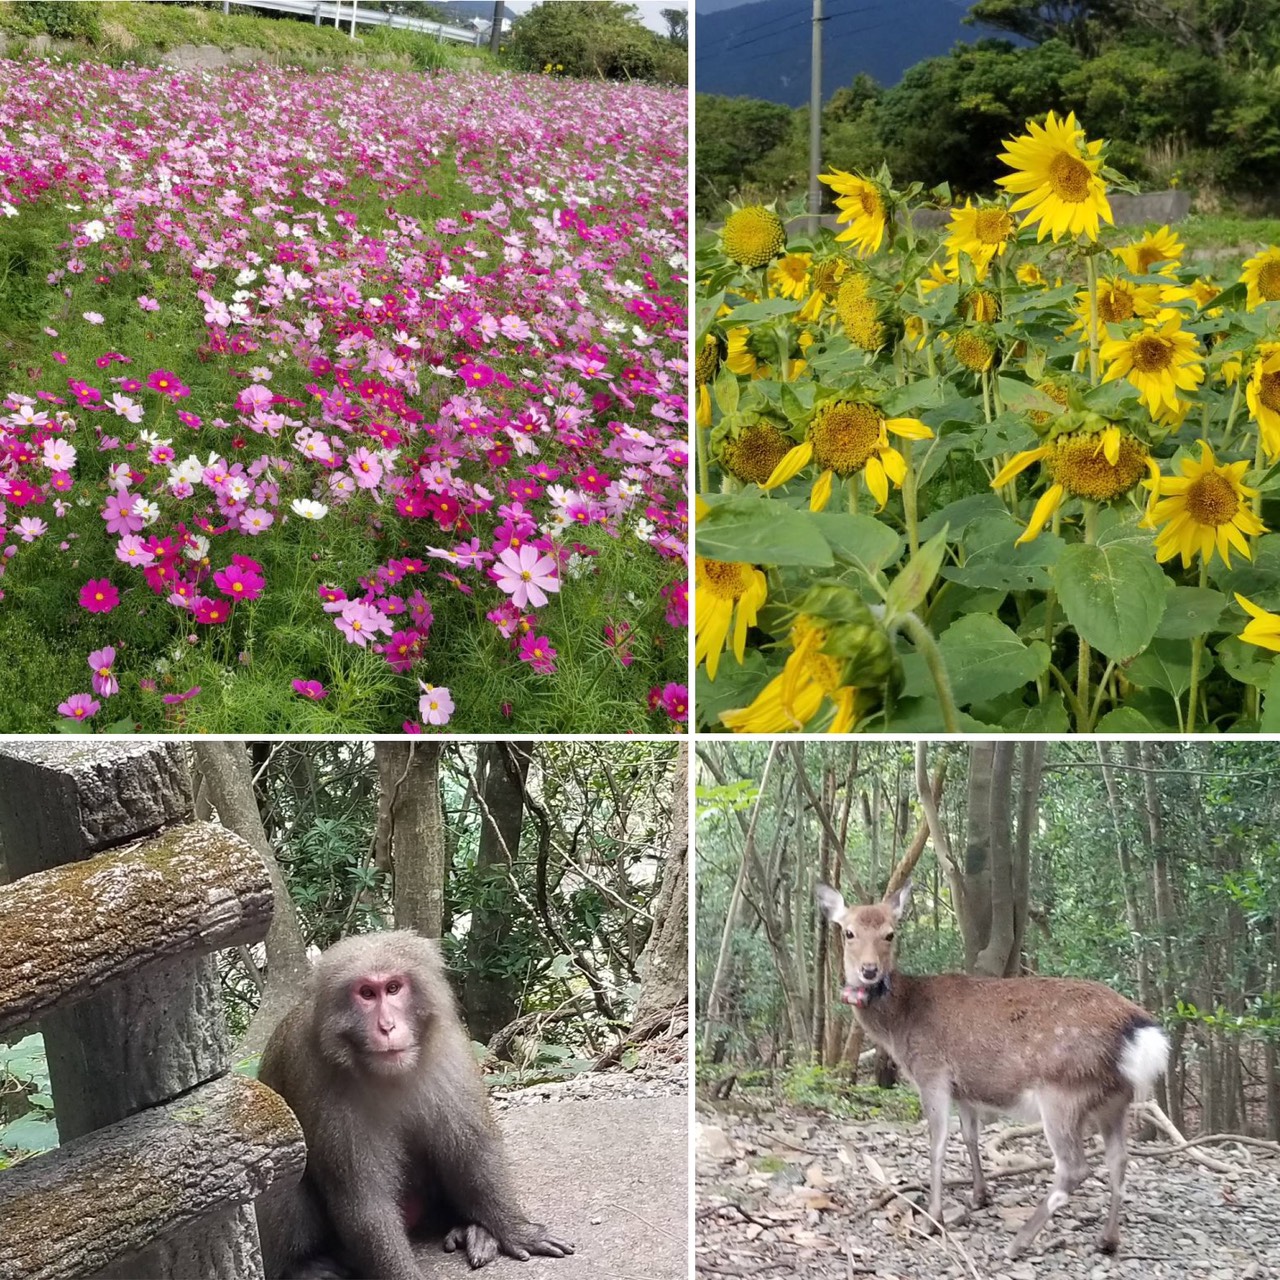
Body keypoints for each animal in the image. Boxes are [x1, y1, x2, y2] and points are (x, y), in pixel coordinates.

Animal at [819, 880, 1172, 1259]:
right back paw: (1107, 1240)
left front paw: (933, 1219)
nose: (869, 971)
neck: (900, 1025)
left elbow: (938, 1145)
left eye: (890, 933)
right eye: (848, 932)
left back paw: (1020, 1241)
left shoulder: (932, 1073)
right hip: (1115, 1099)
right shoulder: (964, 1089)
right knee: (1119, 1159)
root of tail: (1141, 1036)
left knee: (1074, 1167)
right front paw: (980, 1196)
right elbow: (970, 1137)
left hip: (1063, 1091)